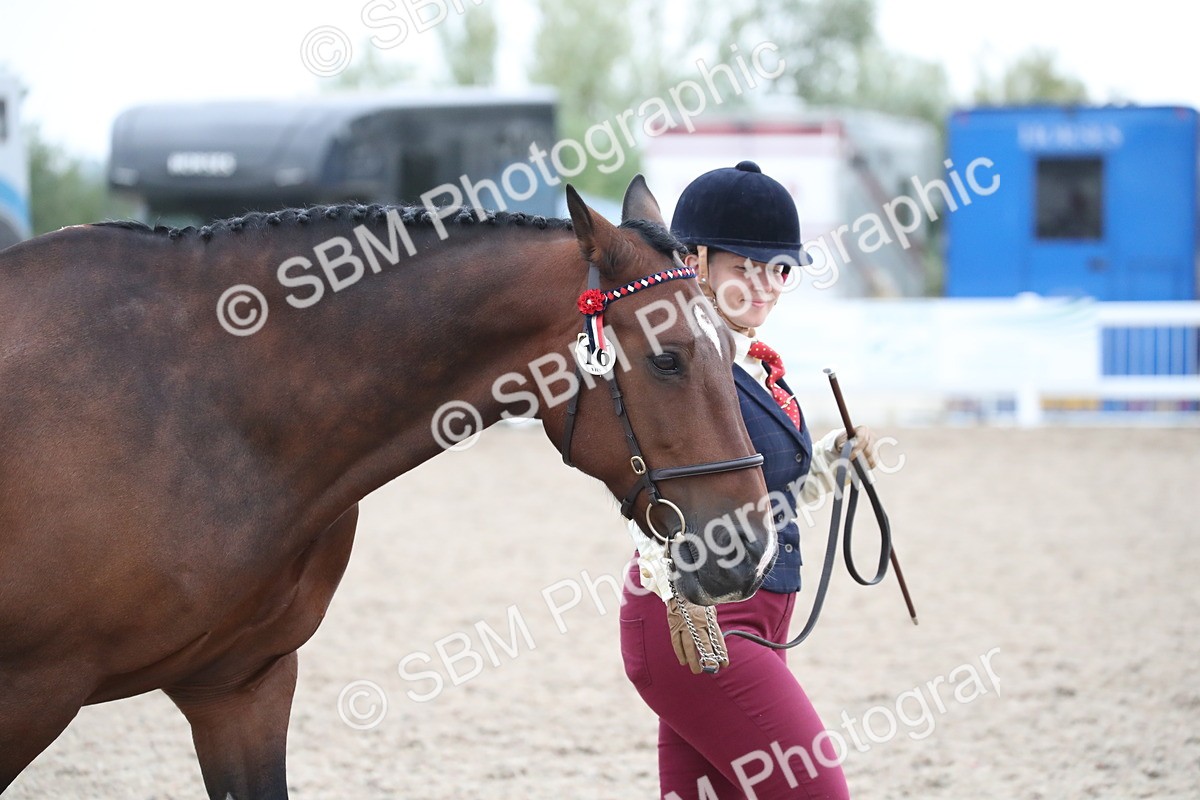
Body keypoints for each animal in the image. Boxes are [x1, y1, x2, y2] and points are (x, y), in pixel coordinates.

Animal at [0, 177, 776, 798]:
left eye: (731, 349)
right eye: (668, 359)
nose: (744, 550)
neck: (203, 399)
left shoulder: (240, 688)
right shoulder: (29, 693)